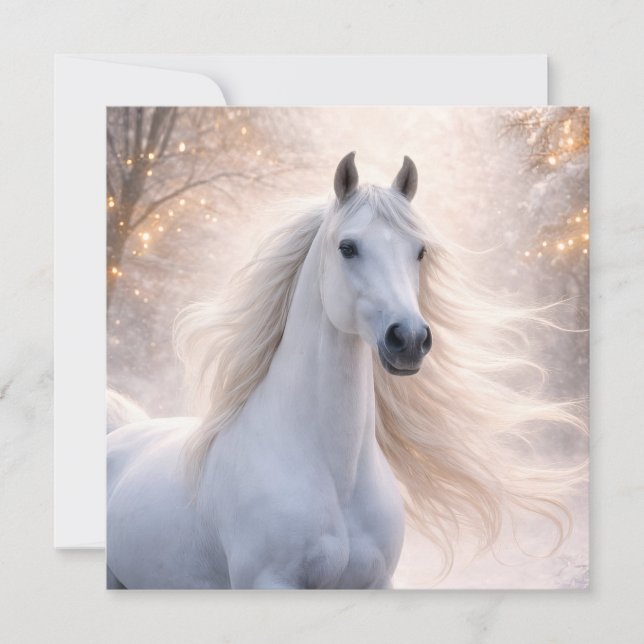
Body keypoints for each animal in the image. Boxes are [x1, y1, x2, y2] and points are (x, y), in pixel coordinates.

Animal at [106, 152, 586, 589]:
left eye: (420, 251)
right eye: (348, 247)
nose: (409, 339)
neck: (336, 475)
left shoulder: (376, 584)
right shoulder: (269, 584)